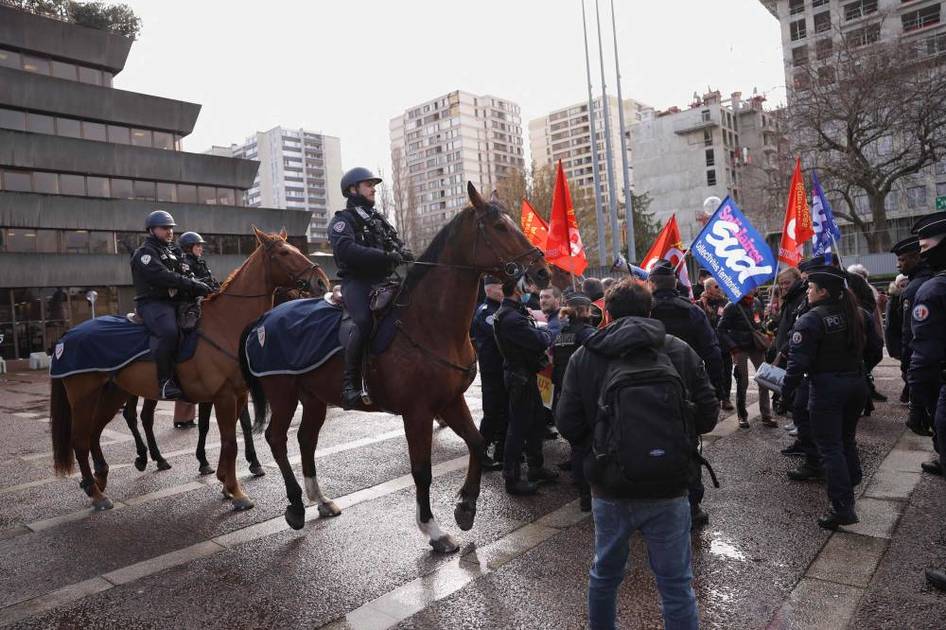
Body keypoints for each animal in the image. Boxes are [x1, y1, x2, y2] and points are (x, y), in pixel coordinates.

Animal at [50, 231, 328, 512]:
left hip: (112, 394)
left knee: (96, 432)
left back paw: (102, 477)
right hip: (84, 397)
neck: (226, 323)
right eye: (284, 253)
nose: (321, 282)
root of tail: (67, 335)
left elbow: (230, 438)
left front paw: (226, 482)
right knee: (80, 440)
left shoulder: (237, 395)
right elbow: (230, 441)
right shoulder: (224, 396)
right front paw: (236, 491)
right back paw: (98, 493)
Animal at [243, 183, 548, 552]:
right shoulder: (417, 412)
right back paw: (296, 506)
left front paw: (465, 507)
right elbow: (422, 470)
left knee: (305, 438)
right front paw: (433, 530)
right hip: (283, 393)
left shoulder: (450, 400)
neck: (430, 323)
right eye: (500, 227)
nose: (542, 272)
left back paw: (321, 500)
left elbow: (477, 442)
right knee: (276, 439)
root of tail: (263, 319)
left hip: (313, 397)